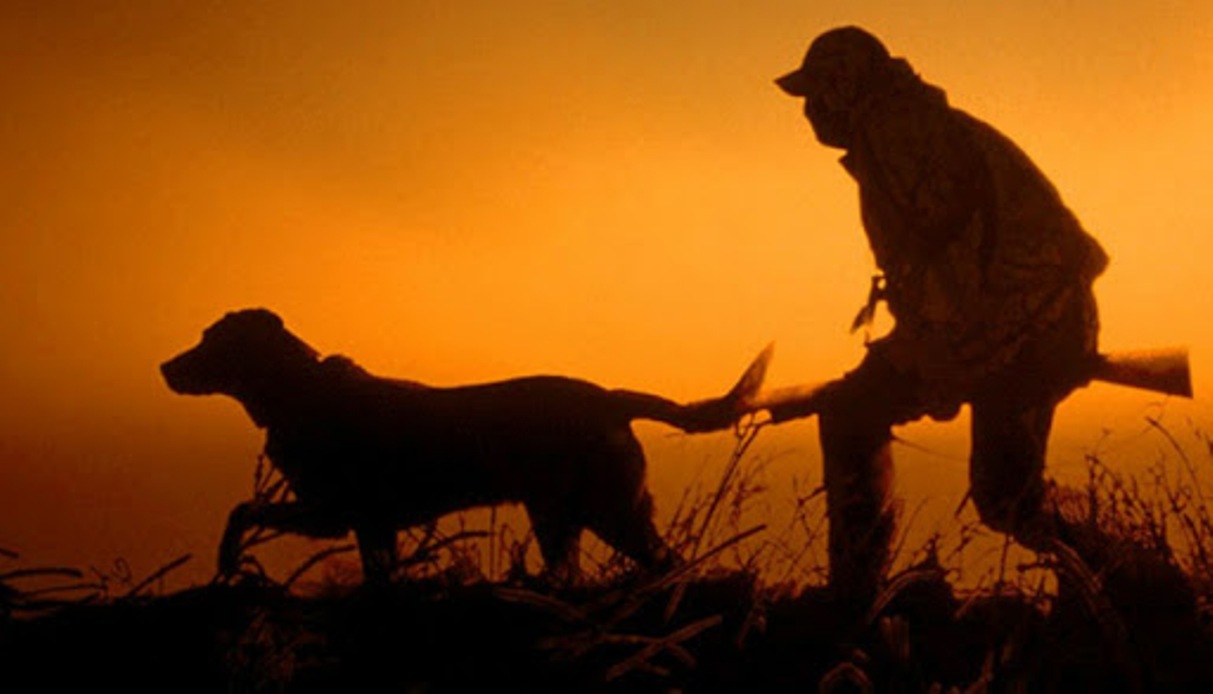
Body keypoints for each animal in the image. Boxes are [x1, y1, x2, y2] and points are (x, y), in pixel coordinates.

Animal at [161, 309, 771, 584]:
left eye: (211, 340)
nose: (165, 366)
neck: (299, 391)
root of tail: (611, 399)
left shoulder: (332, 512)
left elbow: (242, 509)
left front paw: (227, 560)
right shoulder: (363, 521)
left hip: (608, 511)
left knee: (668, 564)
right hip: (563, 517)